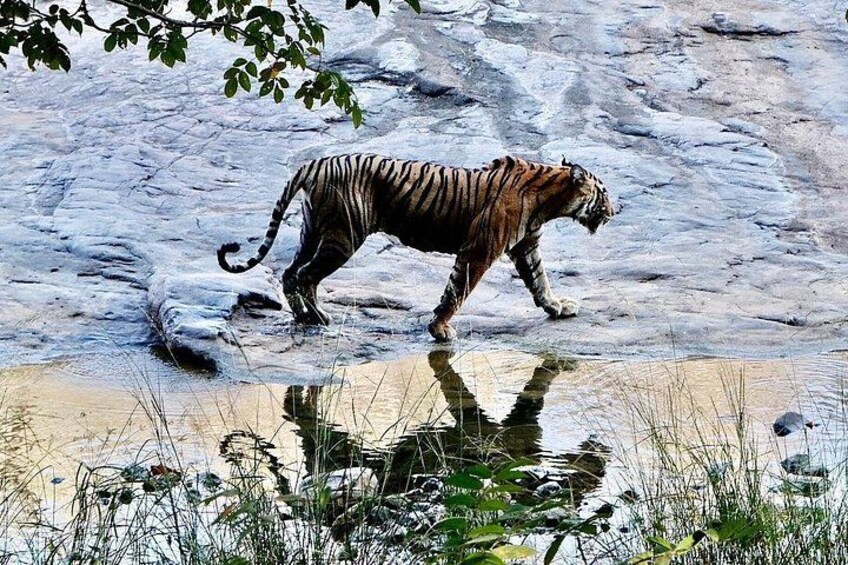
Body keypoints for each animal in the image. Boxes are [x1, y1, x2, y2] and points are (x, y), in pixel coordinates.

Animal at [217, 153, 614, 342]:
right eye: (603, 193)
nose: (615, 210)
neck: (549, 198)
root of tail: (314, 164)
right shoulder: (479, 251)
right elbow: (457, 291)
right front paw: (440, 330)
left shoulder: (526, 246)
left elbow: (540, 281)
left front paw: (558, 307)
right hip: (342, 237)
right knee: (306, 275)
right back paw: (317, 317)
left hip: (312, 230)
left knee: (290, 273)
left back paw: (302, 315)